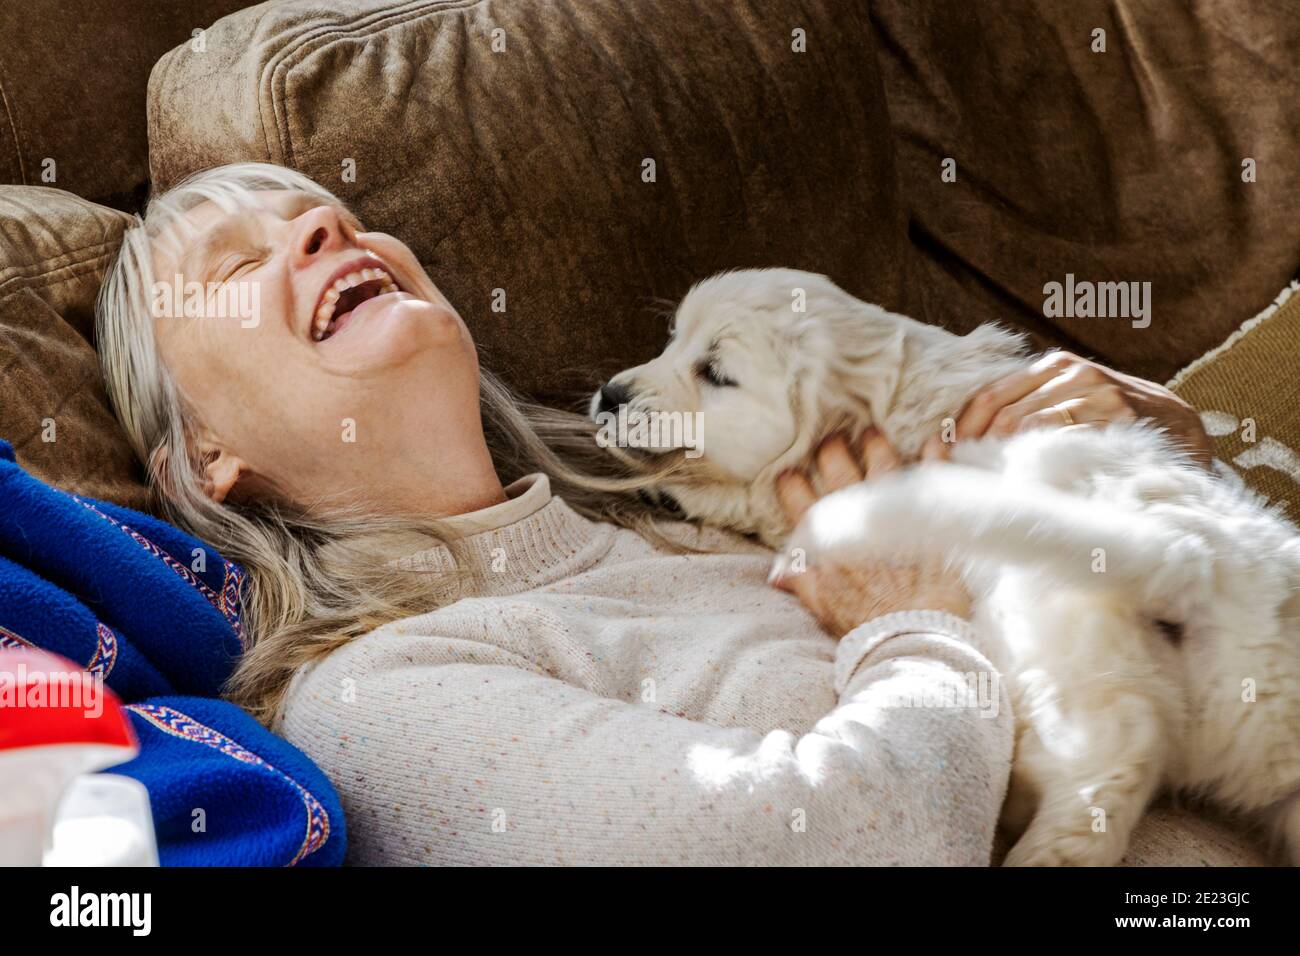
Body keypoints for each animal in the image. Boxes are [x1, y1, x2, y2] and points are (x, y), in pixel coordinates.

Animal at [595, 265, 1300, 863]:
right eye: (671, 340)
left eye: (714, 372)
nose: (609, 394)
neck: (900, 389)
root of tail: (1194, 562)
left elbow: (749, 491)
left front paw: (678, 488)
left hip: (1061, 633)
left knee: (1112, 755)